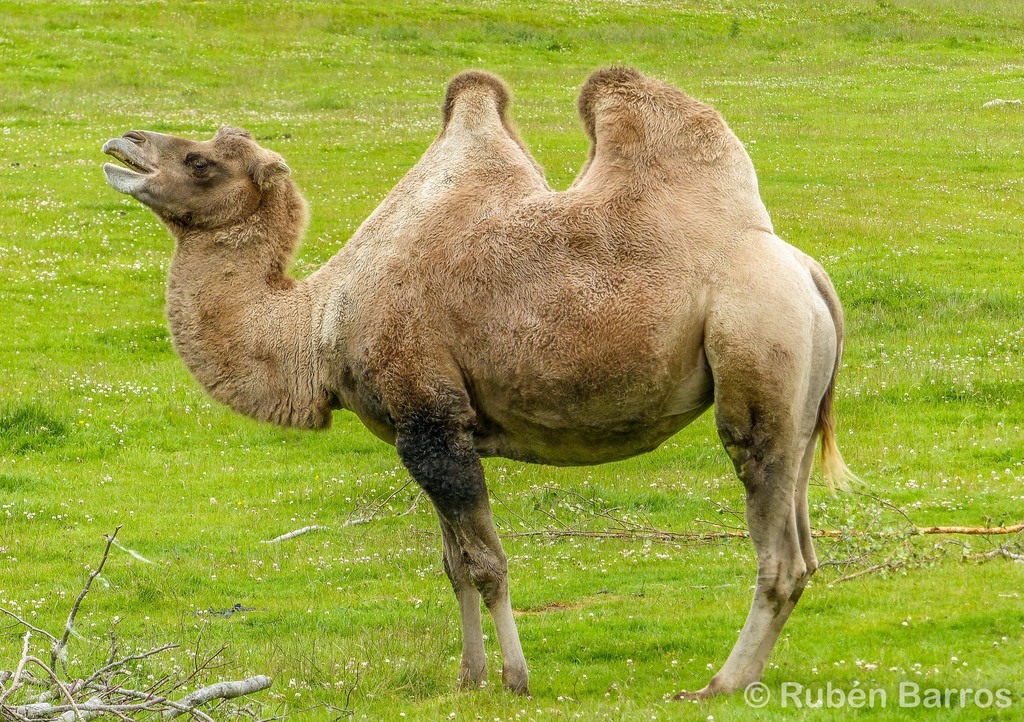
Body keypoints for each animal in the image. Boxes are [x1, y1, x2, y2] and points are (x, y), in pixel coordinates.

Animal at [103, 67, 856, 696]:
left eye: (202, 162)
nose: (124, 141)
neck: (318, 322)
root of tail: (807, 271)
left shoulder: (432, 421)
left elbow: (487, 562)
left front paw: (516, 679)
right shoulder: (421, 432)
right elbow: (454, 564)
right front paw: (469, 678)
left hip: (758, 349)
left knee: (777, 548)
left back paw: (720, 684)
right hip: (795, 401)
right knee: (803, 542)